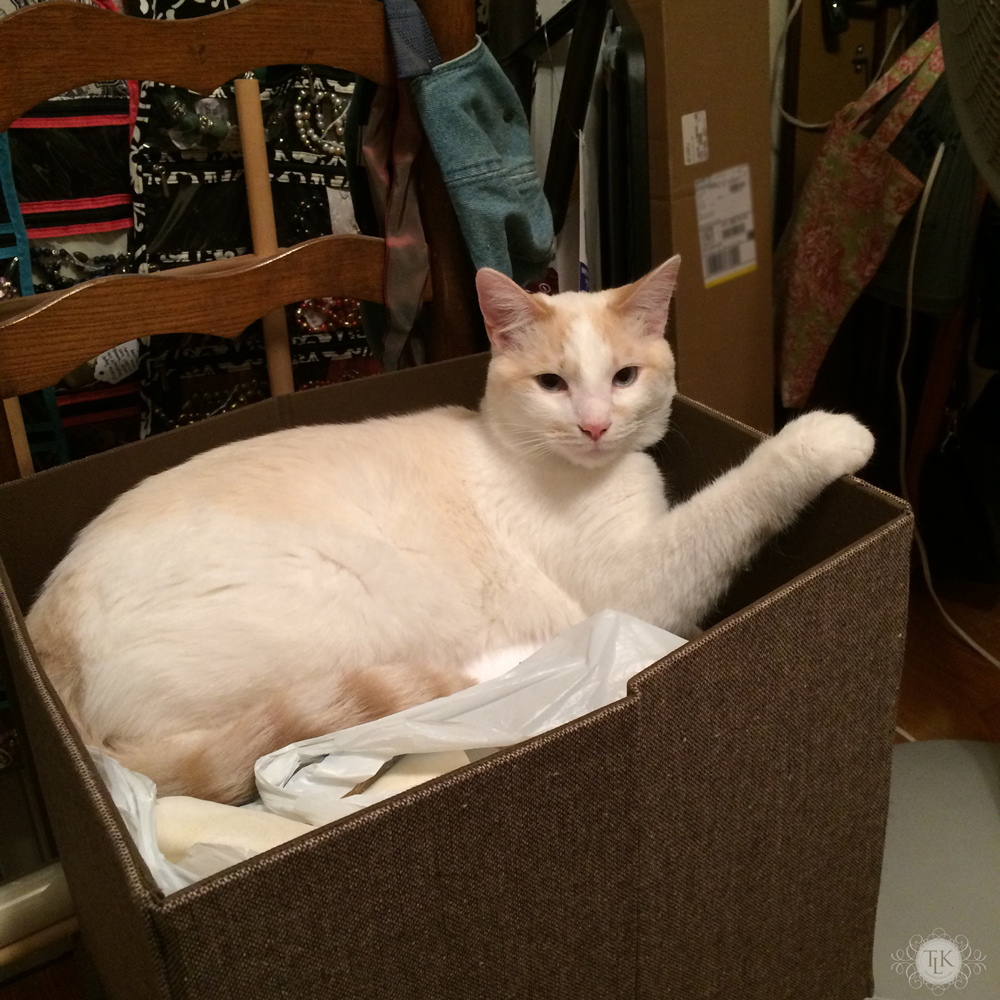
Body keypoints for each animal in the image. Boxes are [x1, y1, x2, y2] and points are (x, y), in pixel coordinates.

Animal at [25, 258, 876, 804]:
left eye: (625, 377)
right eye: (552, 383)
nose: (596, 425)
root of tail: (46, 641)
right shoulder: (638, 587)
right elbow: (737, 496)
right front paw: (830, 435)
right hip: (346, 598)